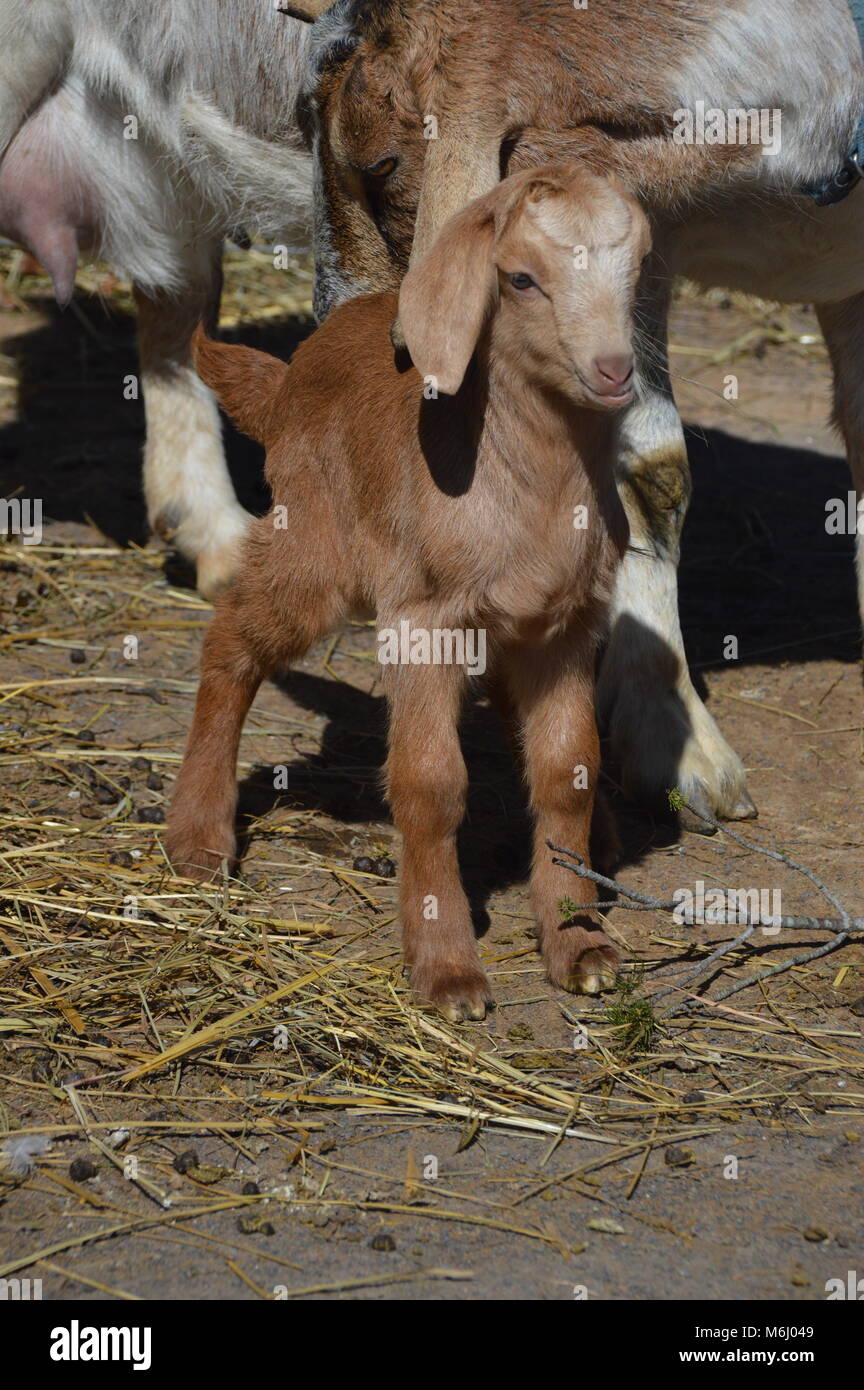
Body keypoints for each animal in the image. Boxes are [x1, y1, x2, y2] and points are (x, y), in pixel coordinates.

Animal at [167, 162, 650, 1023]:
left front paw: (579, 942)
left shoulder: (565, 624)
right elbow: (431, 782)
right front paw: (448, 969)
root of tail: (287, 379)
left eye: (636, 270)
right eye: (521, 279)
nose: (612, 371)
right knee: (231, 641)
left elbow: (567, 765)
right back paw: (198, 838)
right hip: (313, 543)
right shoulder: (421, 619)